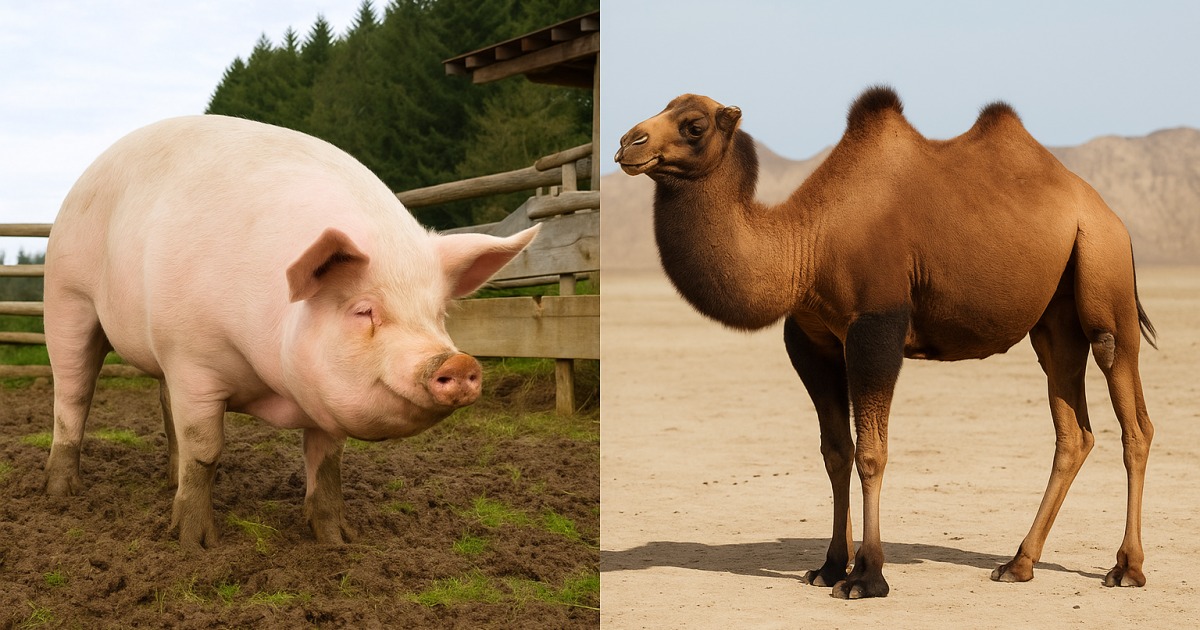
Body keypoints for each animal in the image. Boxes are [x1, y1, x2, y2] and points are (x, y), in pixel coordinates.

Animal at [43, 115, 538, 548]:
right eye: (364, 311)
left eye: (438, 315)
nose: (458, 360)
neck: (271, 387)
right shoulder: (191, 356)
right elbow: (205, 450)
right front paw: (194, 544)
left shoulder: (321, 395)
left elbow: (327, 463)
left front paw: (339, 542)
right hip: (66, 296)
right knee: (74, 392)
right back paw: (61, 491)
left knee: (163, 403)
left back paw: (167, 482)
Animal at [614, 86, 1156, 599]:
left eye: (694, 125)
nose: (627, 142)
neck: (806, 244)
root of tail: (1106, 212)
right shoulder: (810, 340)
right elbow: (835, 452)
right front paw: (829, 566)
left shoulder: (876, 325)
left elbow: (871, 454)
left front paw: (866, 576)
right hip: (1053, 319)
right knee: (1073, 431)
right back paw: (1018, 563)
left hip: (1103, 269)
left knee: (1131, 413)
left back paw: (1127, 568)